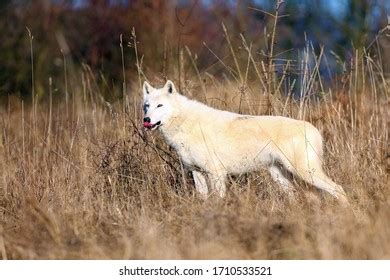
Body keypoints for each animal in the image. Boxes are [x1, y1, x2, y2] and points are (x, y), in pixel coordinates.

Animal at [142, 80, 348, 205]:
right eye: (147, 106)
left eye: (160, 105)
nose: (146, 120)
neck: (185, 123)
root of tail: (314, 129)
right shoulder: (196, 172)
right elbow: (204, 199)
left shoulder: (216, 173)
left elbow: (218, 200)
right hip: (282, 177)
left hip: (304, 172)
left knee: (338, 189)